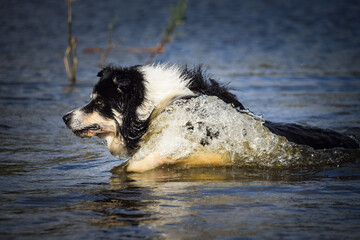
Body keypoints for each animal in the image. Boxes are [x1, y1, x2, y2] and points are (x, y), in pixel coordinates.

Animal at [63, 63, 358, 172]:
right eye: (92, 99)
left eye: (99, 102)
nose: (65, 117)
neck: (152, 108)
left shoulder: (182, 132)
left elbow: (139, 163)